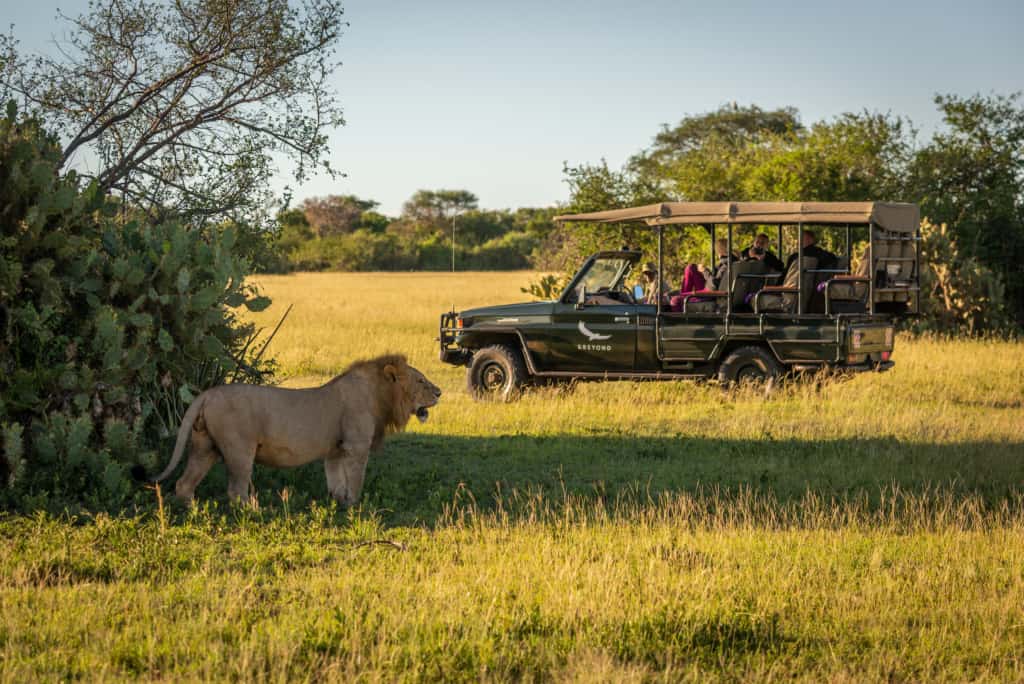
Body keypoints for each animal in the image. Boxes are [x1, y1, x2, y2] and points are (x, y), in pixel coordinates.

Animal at [136, 356, 440, 505]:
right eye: (420, 381)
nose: (439, 392)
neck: (380, 395)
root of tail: (207, 394)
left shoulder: (336, 451)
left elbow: (335, 479)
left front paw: (339, 503)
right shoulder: (356, 447)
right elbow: (356, 479)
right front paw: (355, 506)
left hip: (204, 446)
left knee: (183, 483)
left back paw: (193, 510)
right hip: (239, 450)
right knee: (235, 490)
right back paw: (253, 511)